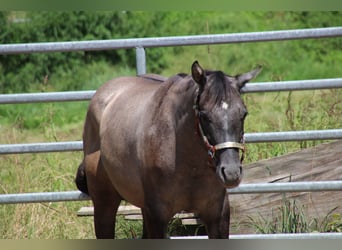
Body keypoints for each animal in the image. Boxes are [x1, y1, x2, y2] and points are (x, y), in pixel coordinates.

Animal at [75, 61, 262, 238]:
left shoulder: (217, 215)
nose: (231, 173)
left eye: (243, 114)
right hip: (105, 204)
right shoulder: (157, 216)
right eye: (204, 115)